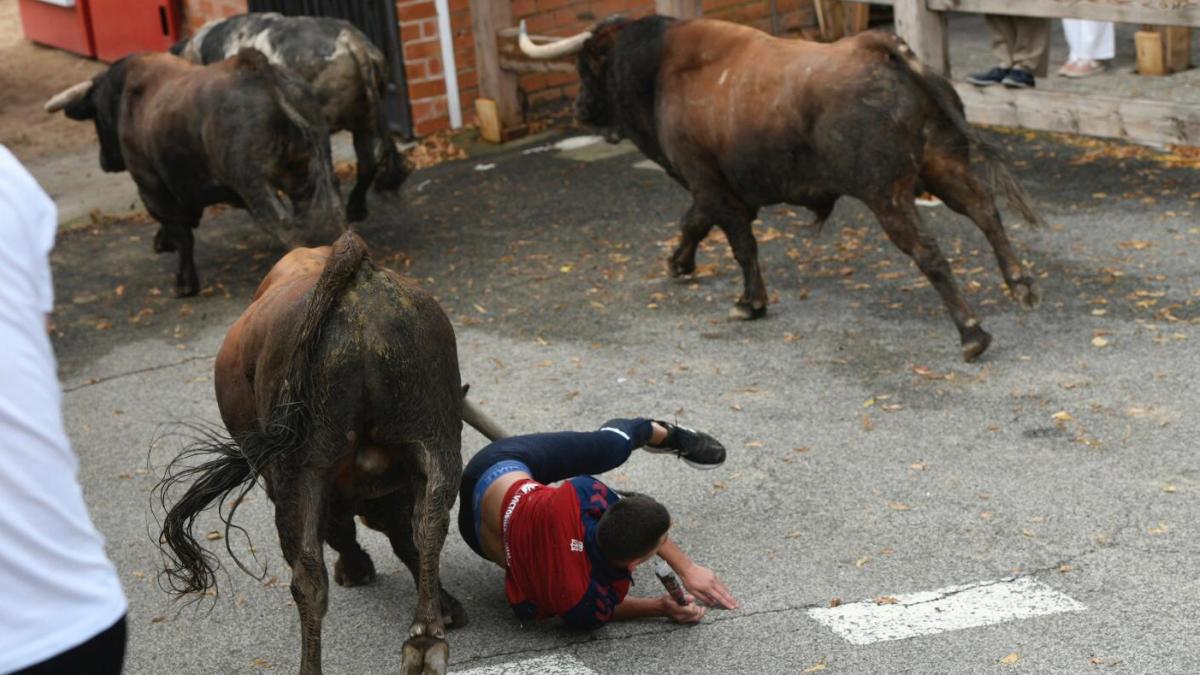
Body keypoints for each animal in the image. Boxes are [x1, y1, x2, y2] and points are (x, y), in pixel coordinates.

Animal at [42, 48, 343, 295]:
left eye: (96, 116)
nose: (105, 161)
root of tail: (258, 69)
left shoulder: (150, 185)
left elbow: (180, 232)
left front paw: (185, 282)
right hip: (313, 168)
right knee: (327, 211)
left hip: (253, 184)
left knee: (287, 227)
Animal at [156, 228, 463, 667]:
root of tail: (357, 277)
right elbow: (404, 535)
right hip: (432, 435)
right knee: (430, 524)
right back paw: (426, 638)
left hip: (301, 470)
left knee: (307, 577)